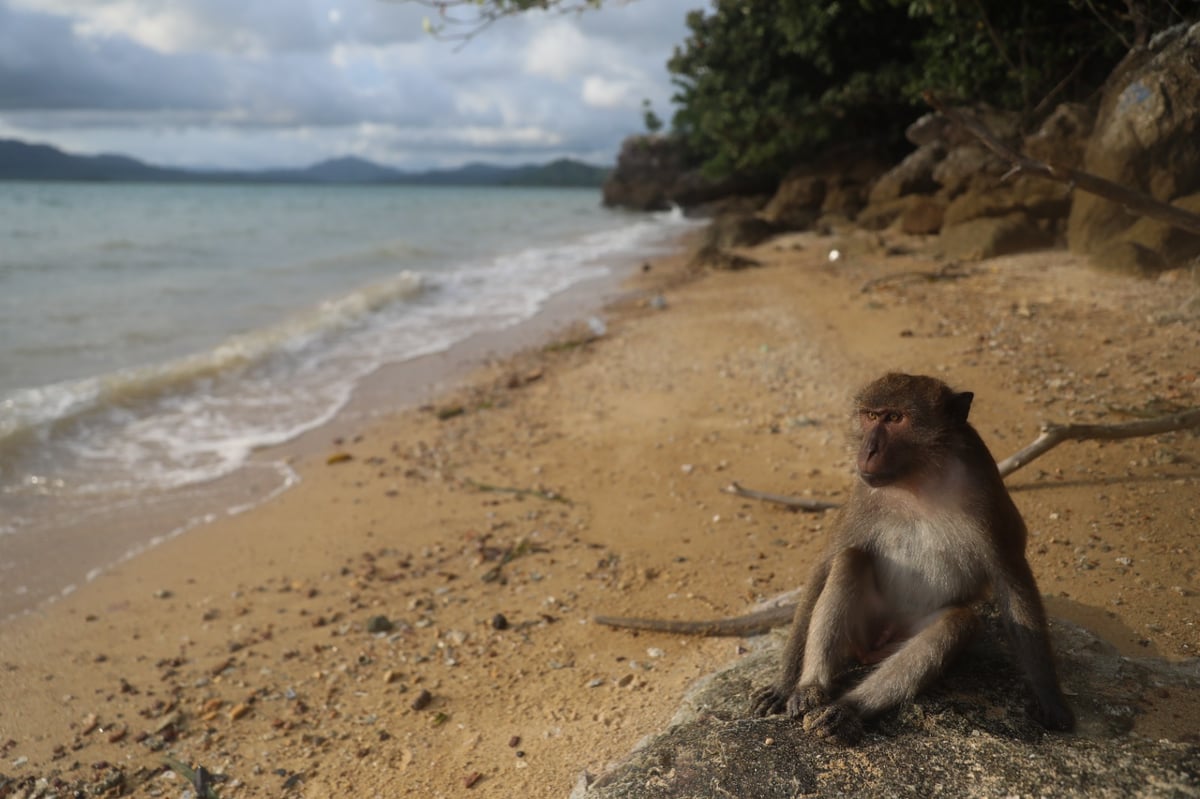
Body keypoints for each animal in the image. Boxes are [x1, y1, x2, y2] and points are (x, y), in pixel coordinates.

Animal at [748, 371, 1080, 739]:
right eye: (870, 416)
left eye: (895, 418)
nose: (868, 449)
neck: (919, 478)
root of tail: (876, 643)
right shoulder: (863, 494)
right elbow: (824, 566)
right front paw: (783, 686)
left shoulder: (987, 492)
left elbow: (1012, 581)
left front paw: (1049, 697)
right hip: (865, 625)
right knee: (850, 559)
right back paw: (813, 689)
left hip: (902, 634)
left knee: (955, 623)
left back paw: (847, 710)